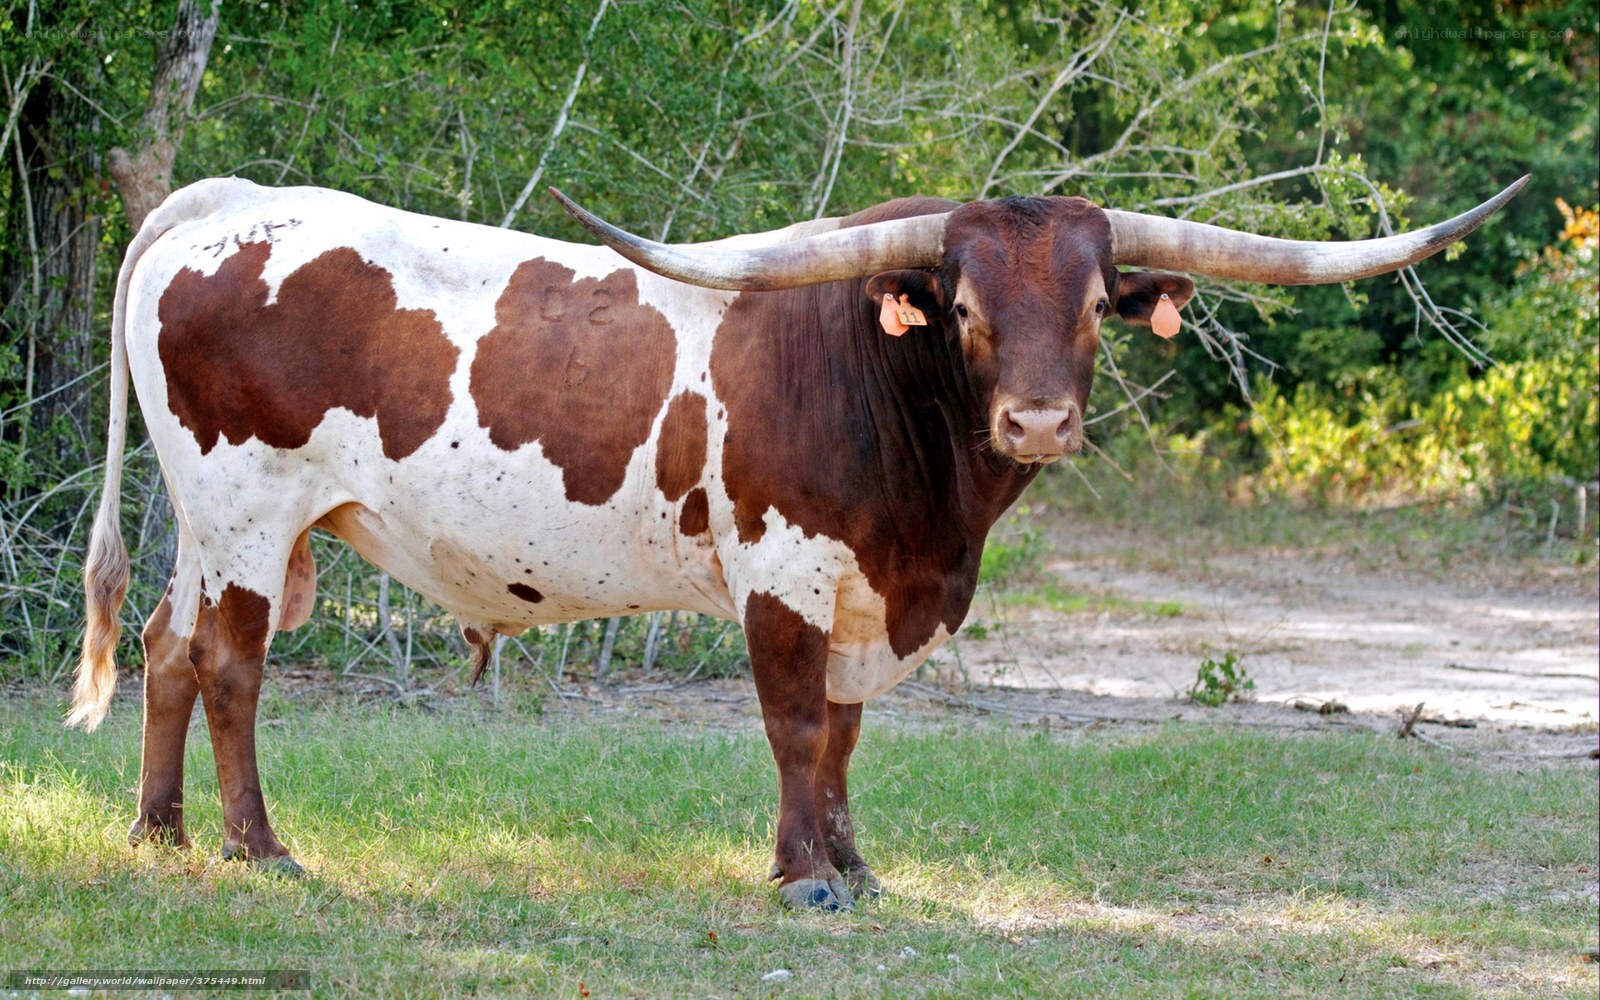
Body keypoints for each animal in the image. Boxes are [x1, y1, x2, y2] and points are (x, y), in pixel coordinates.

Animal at [70, 173, 1526, 910]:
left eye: (1096, 304)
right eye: (965, 306)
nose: (1039, 418)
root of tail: (215, 203)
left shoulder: (873, 594)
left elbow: (842, 734)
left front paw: (854, 864)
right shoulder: (785, 573)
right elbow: (789, 722)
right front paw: (803, 877)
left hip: (211, 521)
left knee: (168, 649)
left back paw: (159, 835)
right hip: (250, 507)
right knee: (234, 667)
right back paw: (258, 848)